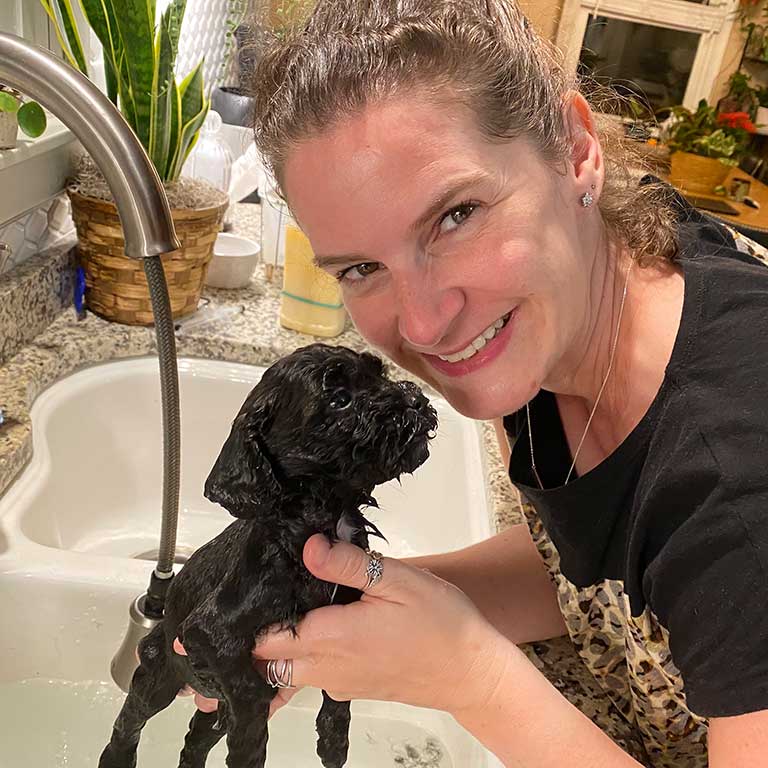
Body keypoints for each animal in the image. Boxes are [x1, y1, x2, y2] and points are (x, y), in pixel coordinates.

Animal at [99, 344, 438, 768]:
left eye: (380, 373)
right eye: (339, 399)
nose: (416, 399)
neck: (325, 517)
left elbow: (338, 692)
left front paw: (333, 741)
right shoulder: (210, 632)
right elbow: (252, 696)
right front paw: (250, 751)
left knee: (196, 737)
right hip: (158, 674)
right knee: (131, 720)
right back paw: (116, 757)